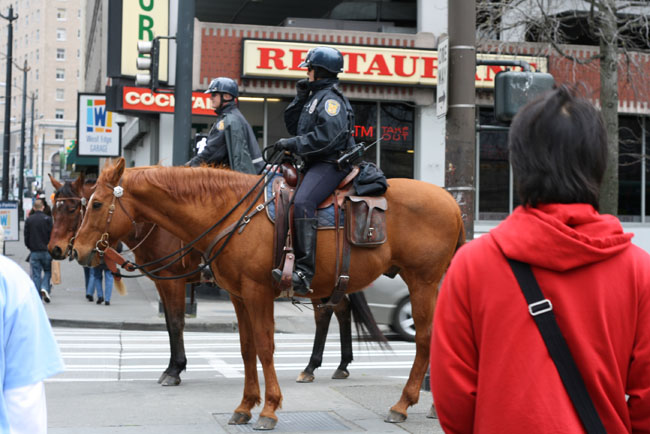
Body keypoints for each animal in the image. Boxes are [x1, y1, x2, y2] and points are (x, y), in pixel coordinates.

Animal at [73, 158, 464, 428]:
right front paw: (245, 405)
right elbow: (247, 349)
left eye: (96, 204)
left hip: (422, 281)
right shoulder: (238, 295)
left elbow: (262, 346)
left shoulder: (254, 291)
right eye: (83, 203)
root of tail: (453, 202)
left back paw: (403, 403)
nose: (75, 250)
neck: (231, 213)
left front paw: (270, 408)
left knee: (424, 337)